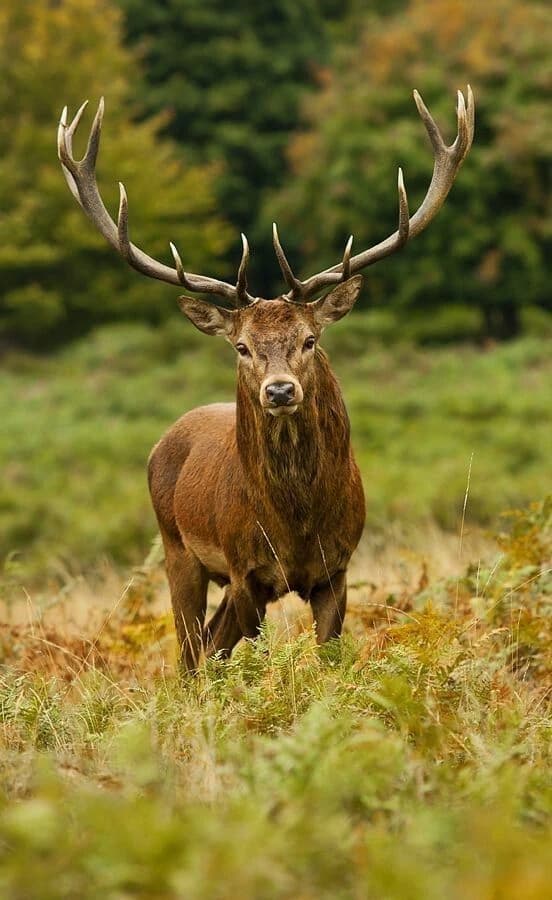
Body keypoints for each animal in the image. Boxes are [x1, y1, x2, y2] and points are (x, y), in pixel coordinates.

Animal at [57, 87, 474, 670]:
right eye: (242, 346)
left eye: (310, 339)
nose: (279, 390)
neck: (296, 525)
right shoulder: (246, 571)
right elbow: (247, 663)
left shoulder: (338, 568)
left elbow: (326, 659)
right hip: (177, 549)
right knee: (191, 655)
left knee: (210, 646)